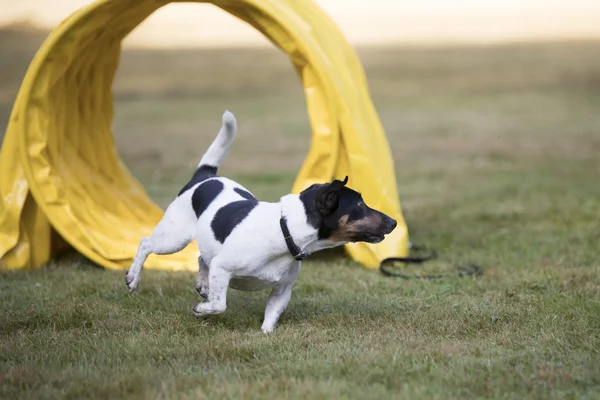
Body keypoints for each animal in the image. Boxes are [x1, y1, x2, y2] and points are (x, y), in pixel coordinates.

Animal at [125, 111, 398, 332]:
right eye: (360, 206)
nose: (394, 222)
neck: (285, 231)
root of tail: (205, 176)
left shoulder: (282, 290)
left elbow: (270, 318)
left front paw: (265, 335)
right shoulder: (223, 267)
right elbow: (219, 305)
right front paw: (202, 310)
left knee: (202, 258)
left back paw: (202, 284)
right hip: (174, 238)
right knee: (146, 243)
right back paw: (133, 278)